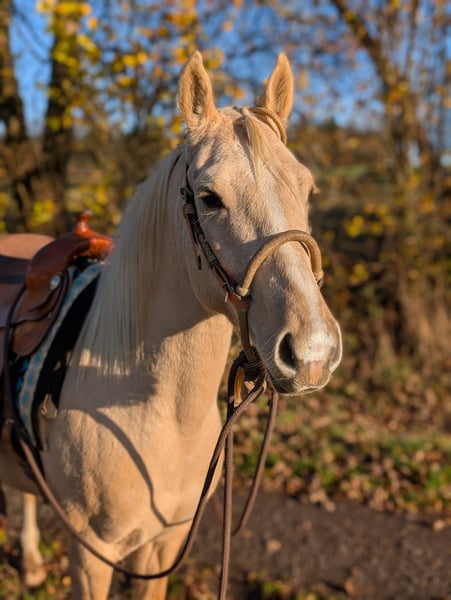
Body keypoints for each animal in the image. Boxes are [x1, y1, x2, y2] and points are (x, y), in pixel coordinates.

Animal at [0, 52, 342, 599]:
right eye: (209, 198)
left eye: (306, 189)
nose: (312, 351)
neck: (152, 409)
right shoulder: (91, 555)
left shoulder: (160, 548)